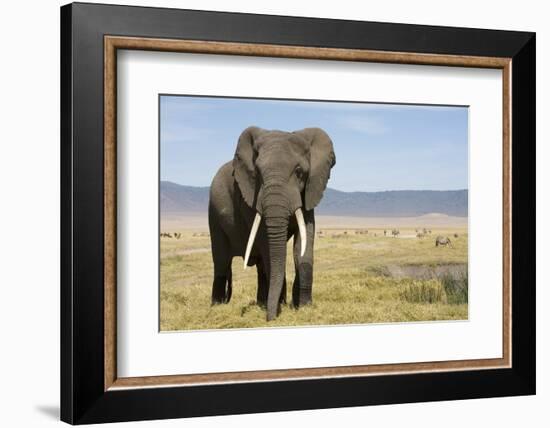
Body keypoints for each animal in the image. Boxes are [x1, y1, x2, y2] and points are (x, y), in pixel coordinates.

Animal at [207, 125, 336, 320]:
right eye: (258, 173)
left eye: (299, 172)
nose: (270, 318)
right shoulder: (250, 198)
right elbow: (266, 243)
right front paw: (280, 307)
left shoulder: (309, 191)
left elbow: (304, 243)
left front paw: (303, 307)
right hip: (213, 215)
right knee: (222, 261)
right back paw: (217, 306)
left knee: (259, 265)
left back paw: (262, 302)